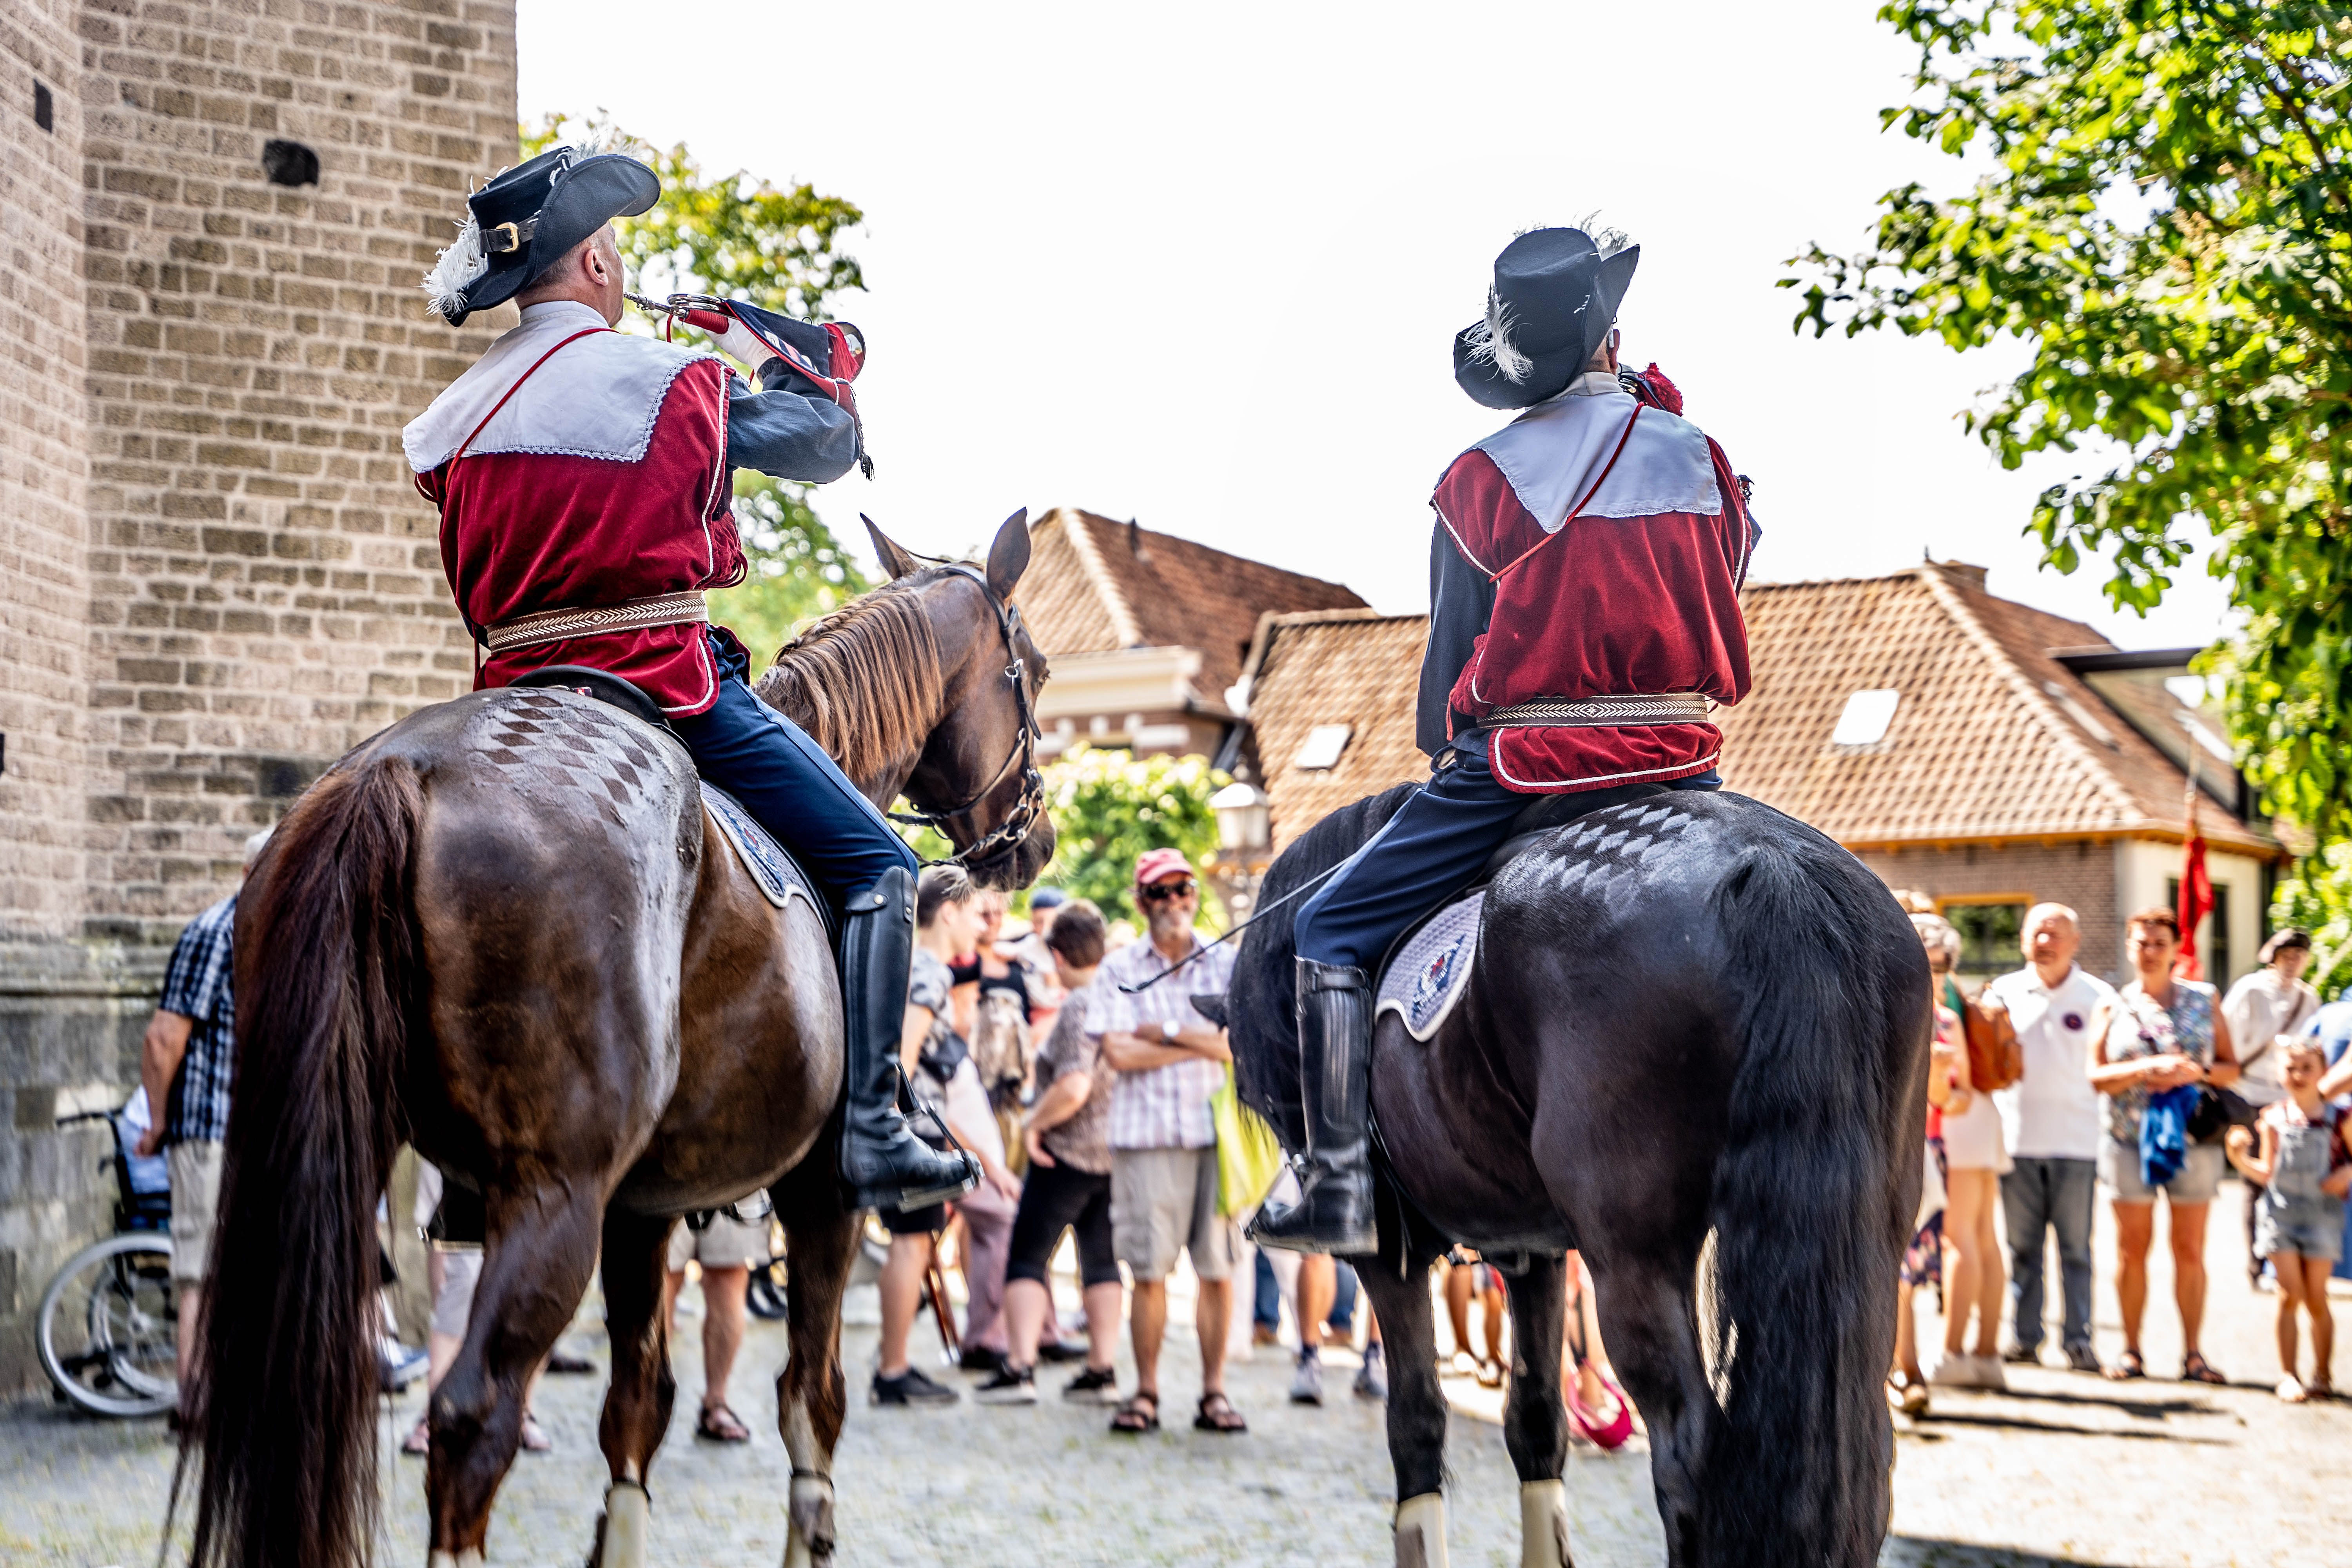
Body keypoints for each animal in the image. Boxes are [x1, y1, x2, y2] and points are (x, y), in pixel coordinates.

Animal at [181, 515, 1058, 1568]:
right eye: (1036, 669)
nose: (1035, 837)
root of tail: (404, 771)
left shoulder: (641, 1210)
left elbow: (637, 1408)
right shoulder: (822, 1198)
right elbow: (812, 1401)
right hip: (554, 1197)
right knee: (473, 1418)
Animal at [1214, 785, 1929, 1568]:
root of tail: (1771, 866)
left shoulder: (1388, 1255)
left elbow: (1417, 1426)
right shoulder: (1531, 1248)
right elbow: (1536, 1419)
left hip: (1634, 1262)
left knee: (1689, 1455)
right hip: (1863, 1255)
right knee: (1866, 1462)